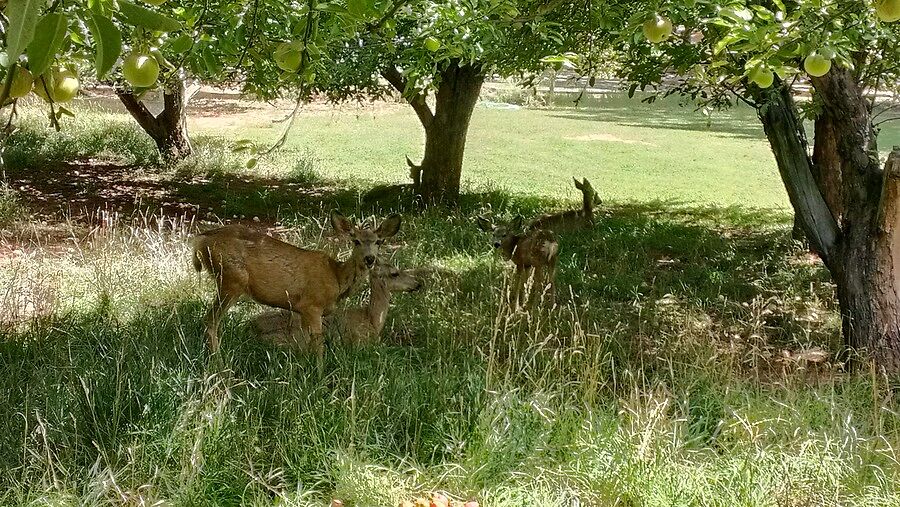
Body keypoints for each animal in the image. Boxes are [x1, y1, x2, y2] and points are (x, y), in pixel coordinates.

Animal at [192, 212, 400, 364]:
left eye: (378, 242)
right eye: (355, 241)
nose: (369, 259)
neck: (337, 278)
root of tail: (201, 239)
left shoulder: (301, 310)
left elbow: (305, 343)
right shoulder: (312, 305)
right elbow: (318, 344)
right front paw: (320, 376)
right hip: (231, 279)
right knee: (210, 321)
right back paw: (218, 363)